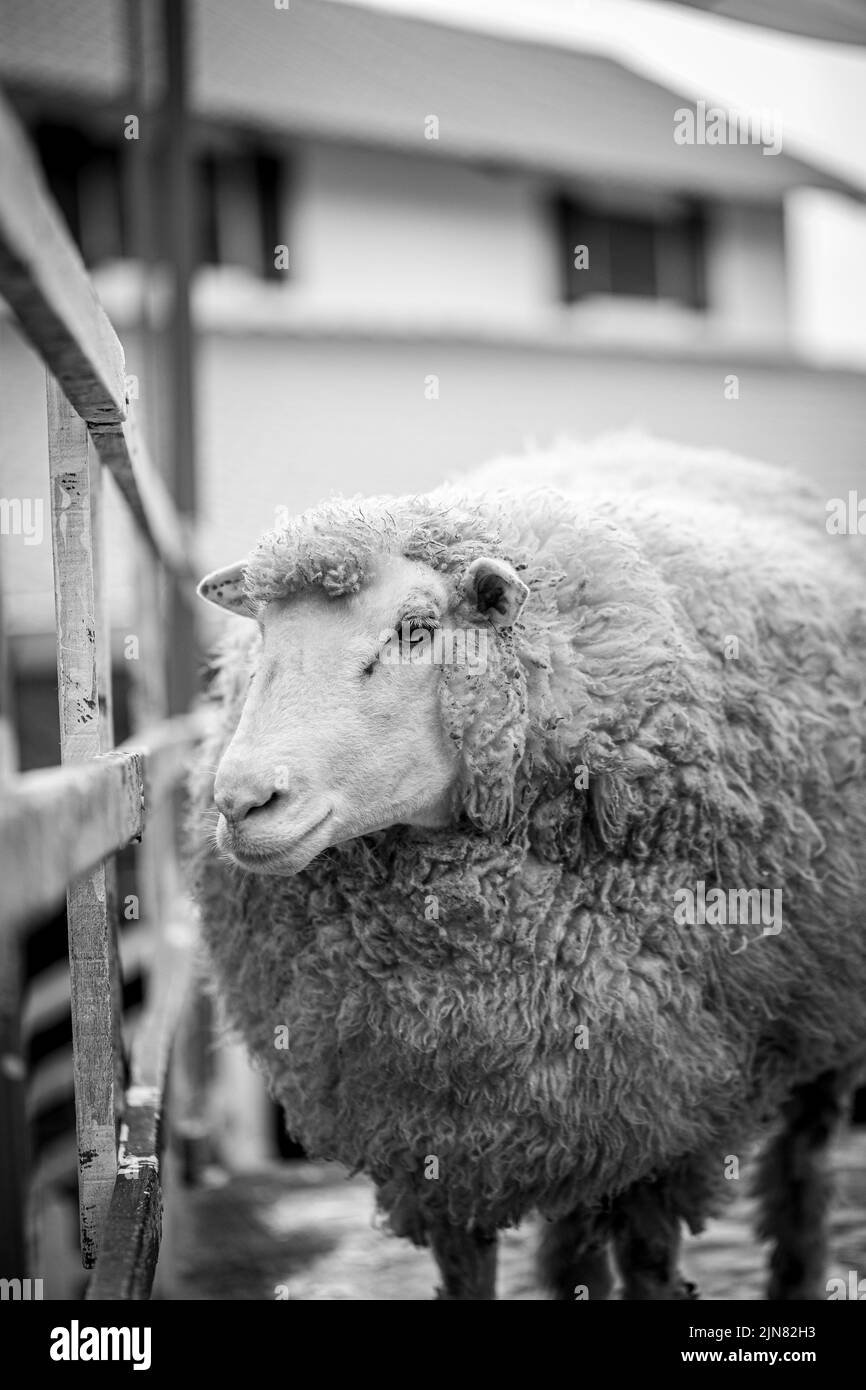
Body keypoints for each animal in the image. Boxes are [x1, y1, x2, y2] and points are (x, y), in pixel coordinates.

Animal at [189, 439, 866, 1295]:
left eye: (417, 629)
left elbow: (651, 1261)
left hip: (822, 1010)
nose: (244, 801)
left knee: (802, 1168)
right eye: (266, 635)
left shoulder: (670, 1106)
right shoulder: (439, 1130)